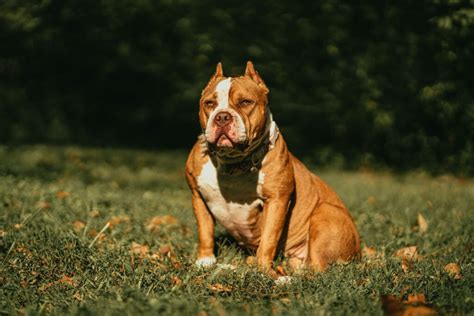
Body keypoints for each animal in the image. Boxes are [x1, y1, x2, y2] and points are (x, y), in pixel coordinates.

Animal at [185, 61, 360, 274]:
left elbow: (268, 239)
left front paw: (265, 270)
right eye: (209, 103)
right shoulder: (198, 196)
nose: (222, 117)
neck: (233, 162)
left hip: (325, 212)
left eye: (245, 102)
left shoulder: (277, 200)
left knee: (316, 269)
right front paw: (205, 261)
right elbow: (205, 231)